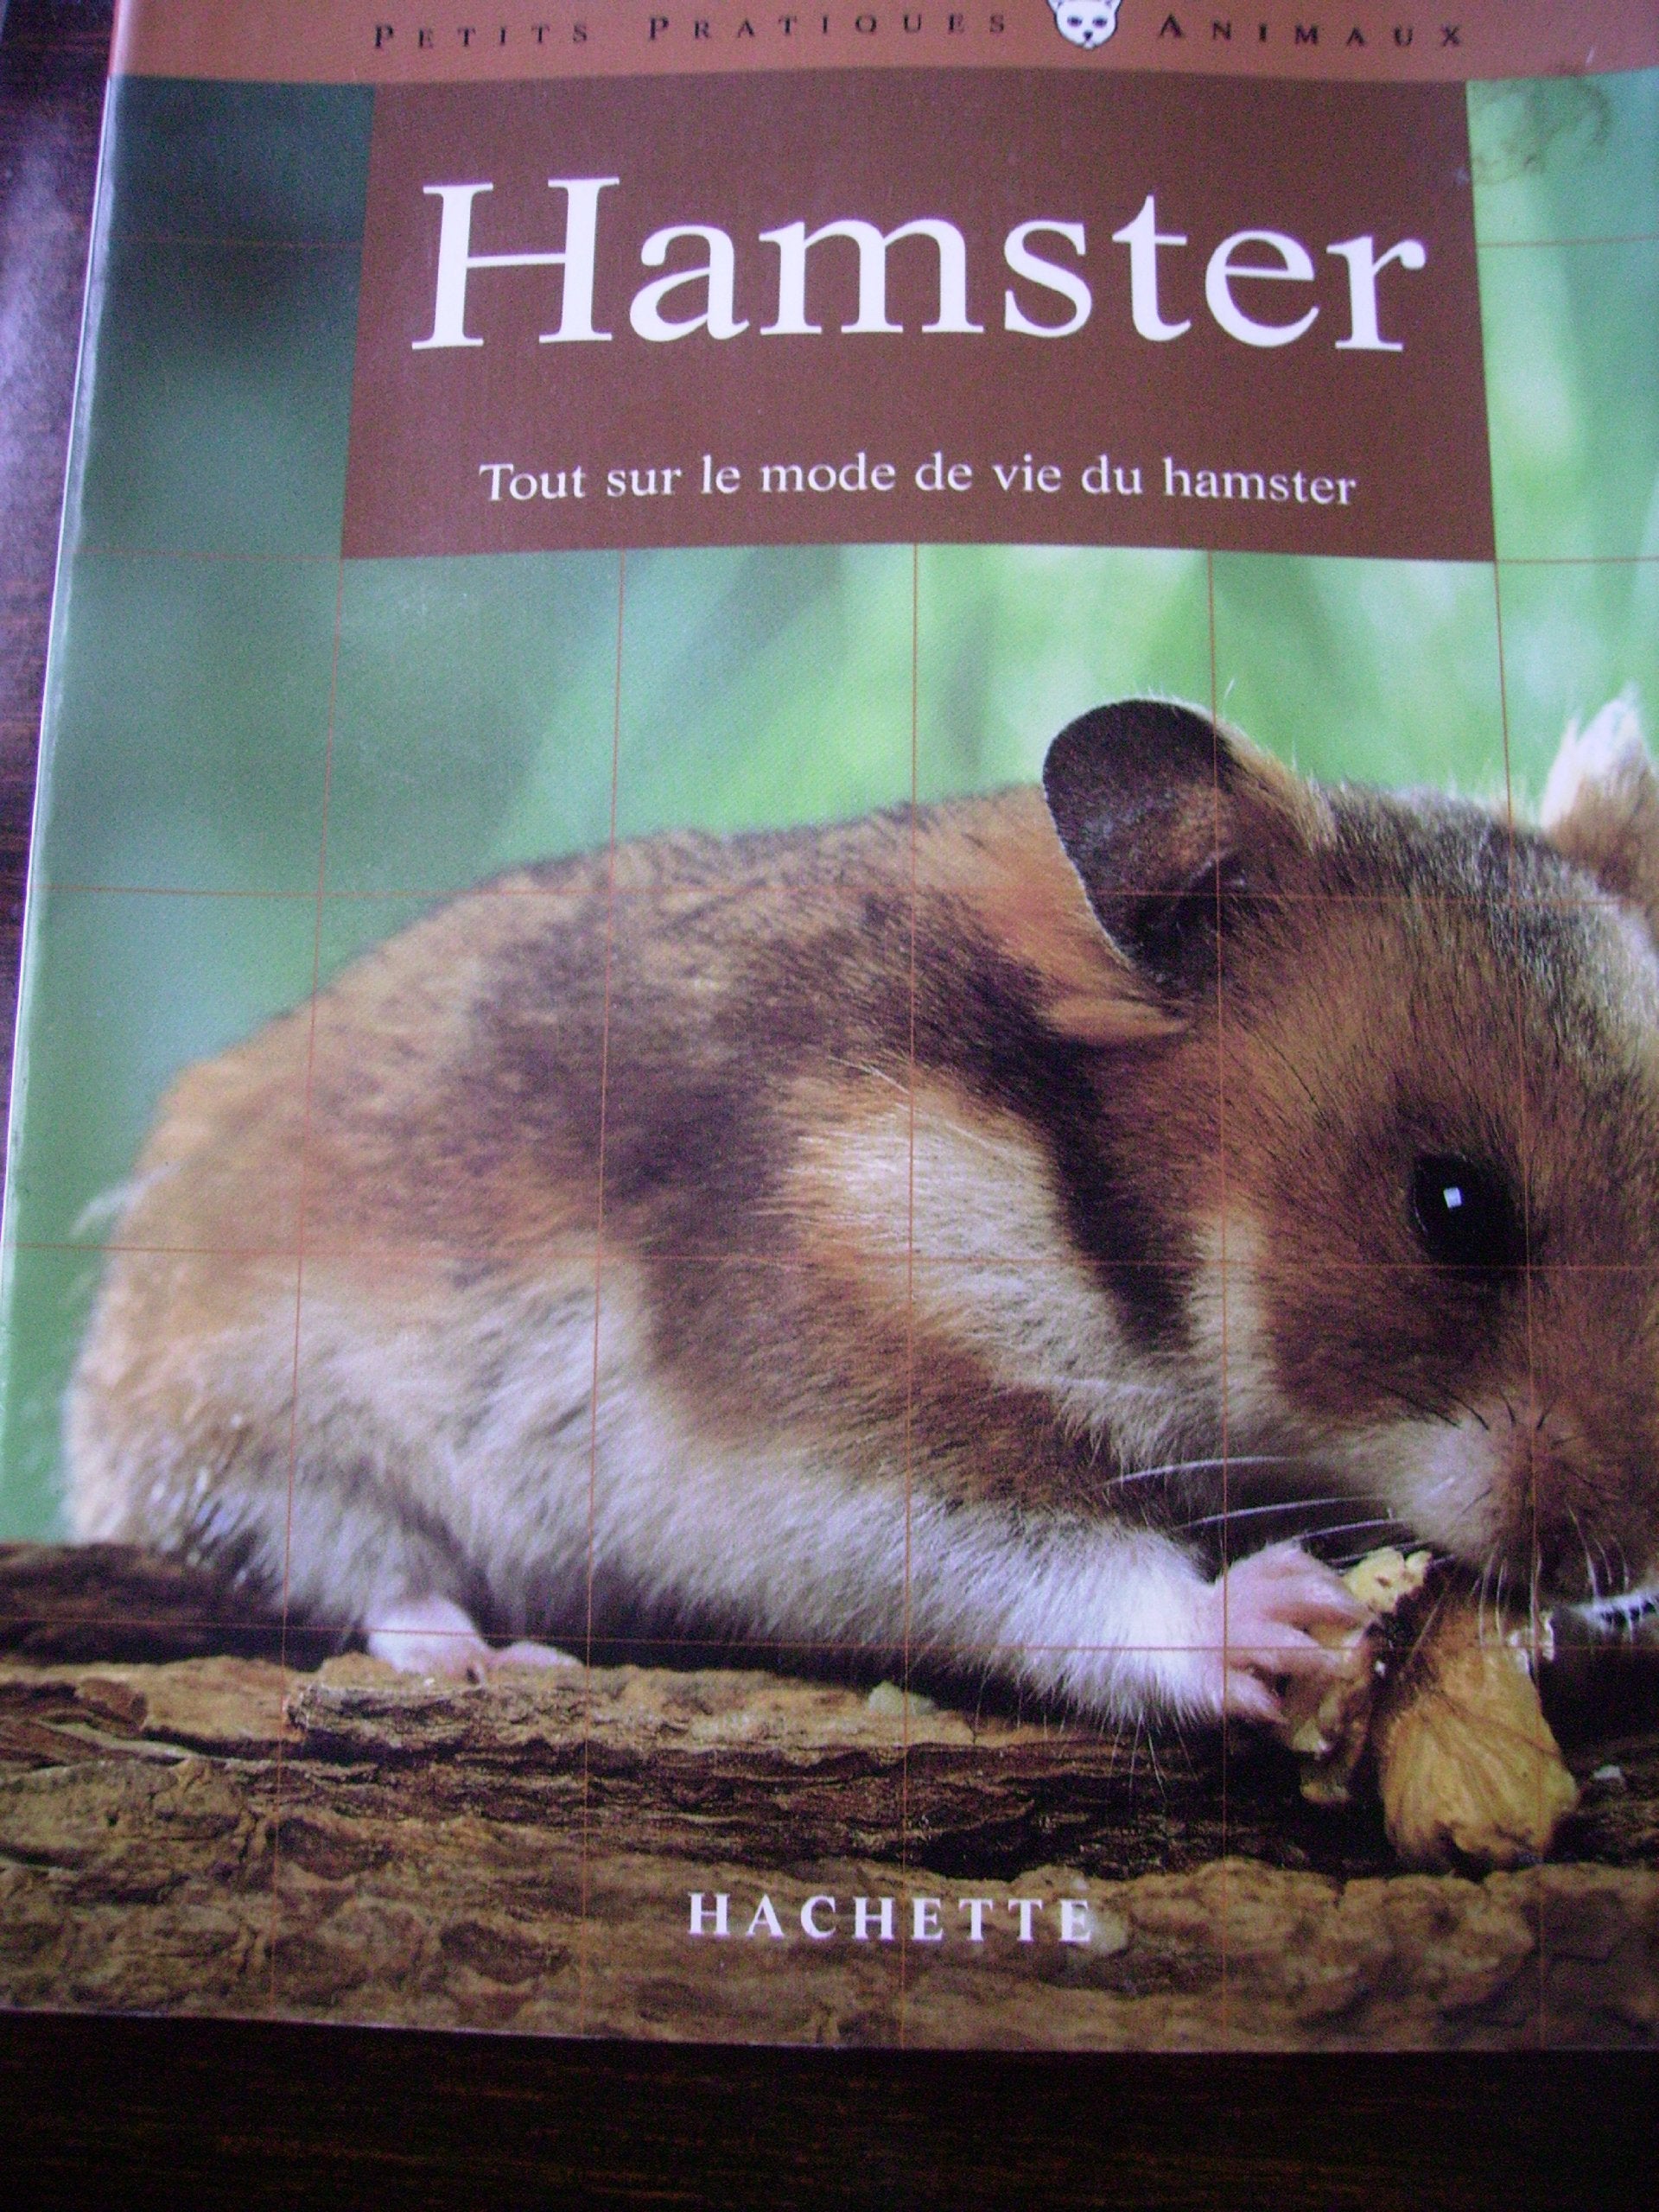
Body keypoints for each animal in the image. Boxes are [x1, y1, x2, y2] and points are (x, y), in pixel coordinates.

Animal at [65, 695, 1659, 1726]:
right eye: (1453, 1208)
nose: (1640, 1564)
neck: (1080, 1206)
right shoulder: (798, 1437)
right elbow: (1045, 1563)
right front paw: (1276, 1620)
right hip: (246, 1425)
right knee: (357, 1570)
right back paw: (482, 1661)